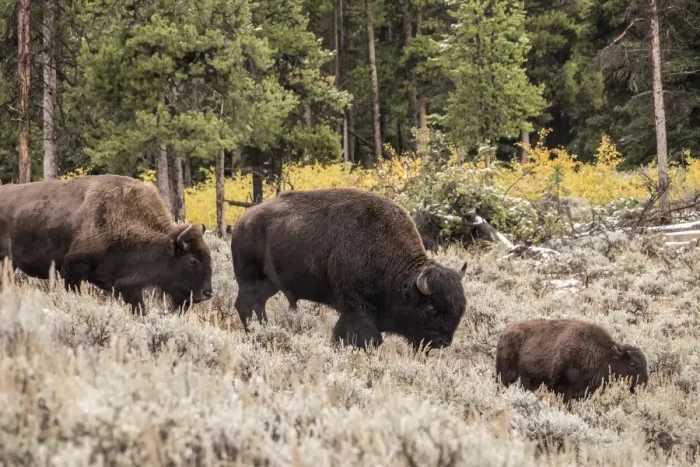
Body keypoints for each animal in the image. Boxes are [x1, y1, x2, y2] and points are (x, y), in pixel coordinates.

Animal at [230, 187, 468, 350]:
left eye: (460, 308)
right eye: (431, 307)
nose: (443, 342)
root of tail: (241, 222)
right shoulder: (356, 305)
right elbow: (366, 337)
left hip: (269, 284)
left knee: (255, 305)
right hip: (251, 279)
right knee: (246, 305)